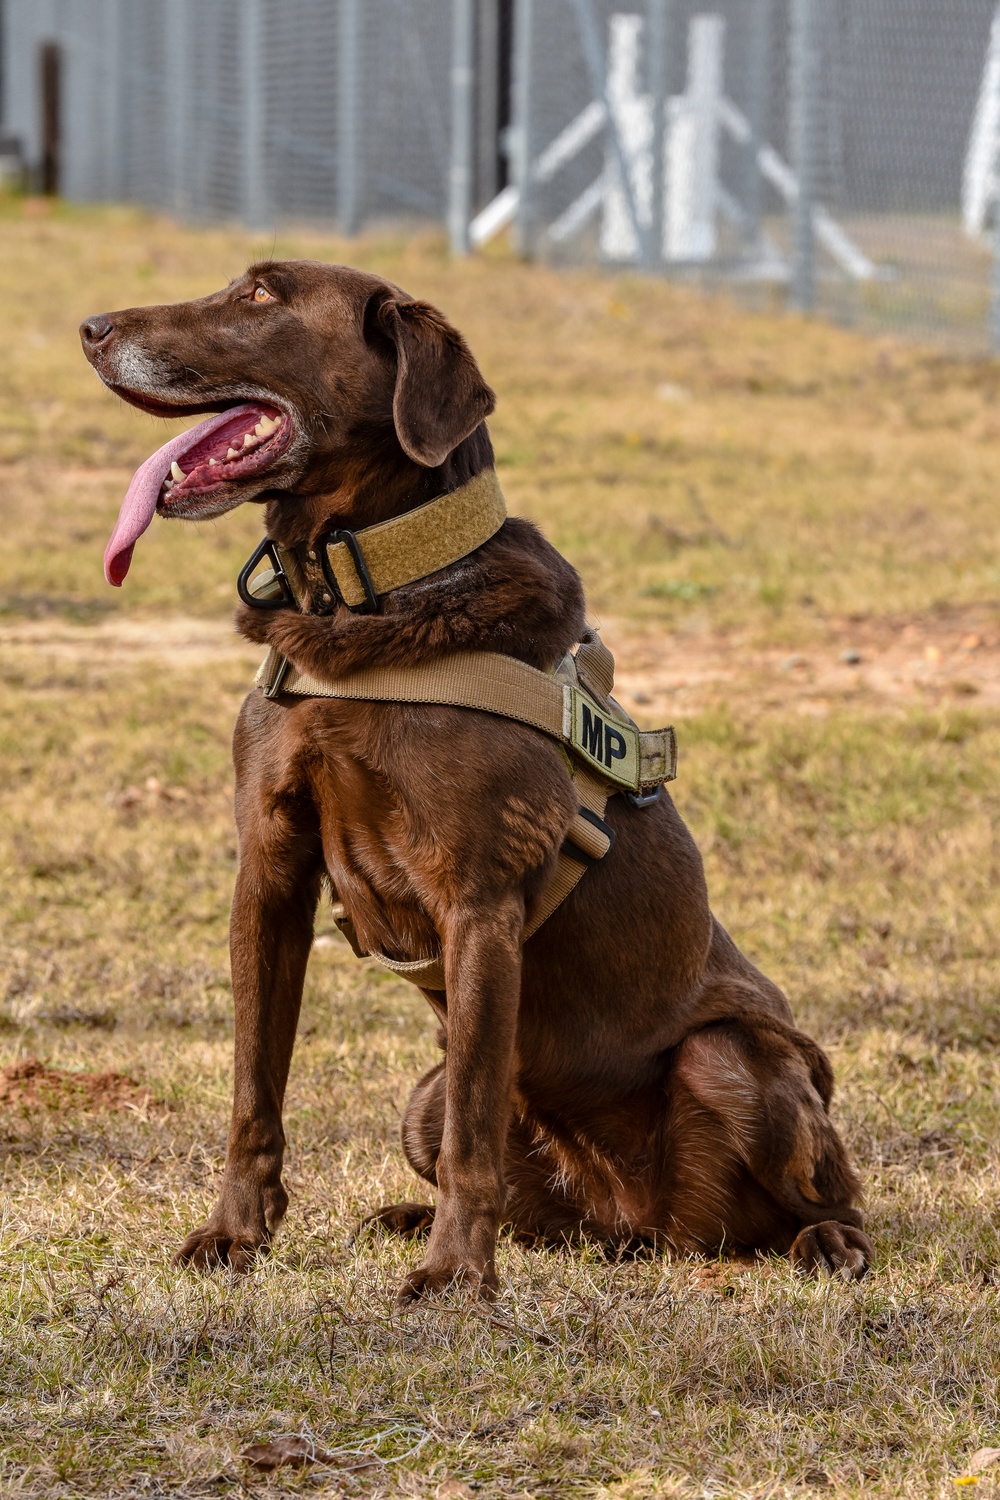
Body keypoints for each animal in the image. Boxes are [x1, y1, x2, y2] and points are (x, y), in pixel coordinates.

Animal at [82, 261, 869, 1302]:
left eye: (261, 296)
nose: (91, 327)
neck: (359, 594)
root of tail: (651, 1224)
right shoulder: (270, 876)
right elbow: (255, 1089)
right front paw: (234, 1237)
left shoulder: (480, 903)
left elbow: (472, 1129)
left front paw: (454, 1275)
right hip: (424, 1097)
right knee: (553, 1213)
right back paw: (414, 1216)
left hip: (733, 1057)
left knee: (818, 1203)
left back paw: (825, 1245)